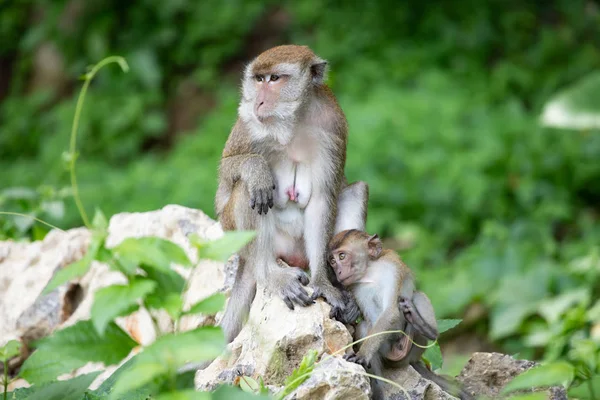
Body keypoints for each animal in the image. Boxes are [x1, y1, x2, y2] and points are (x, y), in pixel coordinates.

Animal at [213, 44, 368, 344]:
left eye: (275, 79)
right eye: (259, 79)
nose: (259, 103)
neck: (293, 122)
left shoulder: (332, 127)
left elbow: (322, 199)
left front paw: (323, 283)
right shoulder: (248, 124)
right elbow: (227, 173)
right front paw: (256, 168)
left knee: (356, 190)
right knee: (248, 190)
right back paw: (270, 275)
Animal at [328, 231, 474, 400]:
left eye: (342, 256)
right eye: (332, 261)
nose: (338, 271)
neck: (368, 273)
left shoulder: (392, 268)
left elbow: (391, 311)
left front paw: (363, 354)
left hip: (413, 348)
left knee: (418, 296)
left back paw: (424, 327)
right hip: (386, 349)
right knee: (364, 328)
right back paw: (378, 389)